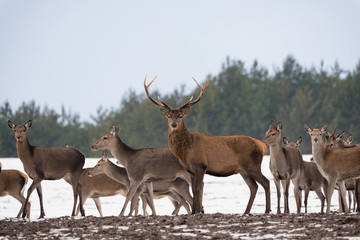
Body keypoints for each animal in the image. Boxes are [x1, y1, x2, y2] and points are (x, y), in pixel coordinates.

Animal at [144, 77, 270, 214]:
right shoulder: (191, 170)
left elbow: (197, 189)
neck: (185, 150)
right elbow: (194, 190)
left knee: (266, 182)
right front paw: (194, 211)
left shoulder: (201, 165)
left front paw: (198, 211)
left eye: (180, 116)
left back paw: (267, 210)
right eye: (169, 116)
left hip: (253, 165)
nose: (174, 124)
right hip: (243, 170)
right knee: (254, 186)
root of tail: (263, 146)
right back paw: (246, 211)